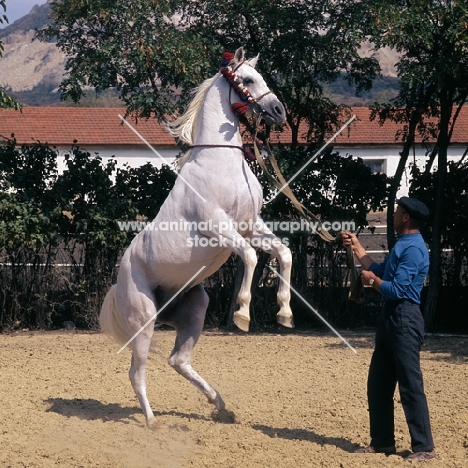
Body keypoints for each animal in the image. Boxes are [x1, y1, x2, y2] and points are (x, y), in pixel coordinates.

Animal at [101, 46, 294, 428]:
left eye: (262, 76)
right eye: (247, 80)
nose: (279, 111)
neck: (222, 163)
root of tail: (120, 281)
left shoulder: (251, 225)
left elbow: (283, 253)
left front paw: (284, 312)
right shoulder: (219, 228)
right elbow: (251, 257)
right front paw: (243, 314)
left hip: (194, 309)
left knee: (178, 360)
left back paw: (219, 404)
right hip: (144, 321)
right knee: (137, 372)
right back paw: (152, 422)